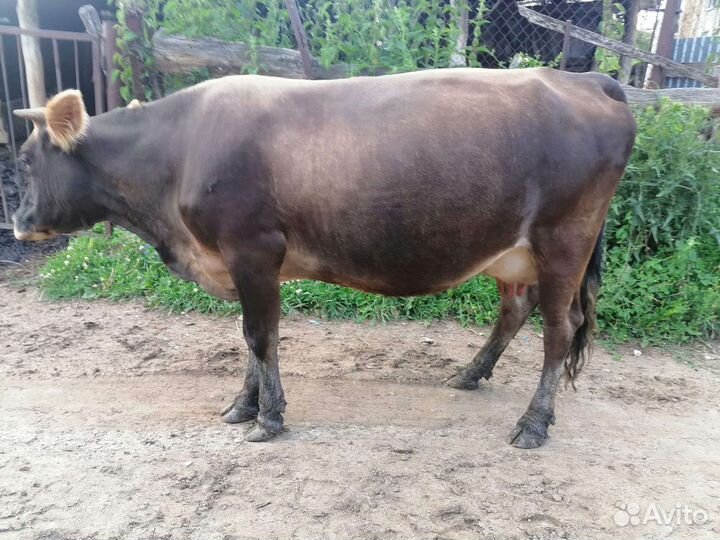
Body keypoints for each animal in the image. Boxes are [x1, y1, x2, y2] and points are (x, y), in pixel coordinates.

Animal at [12, 68, 635, 448]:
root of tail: (586, 78)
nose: (17, 223)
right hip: (514, 252)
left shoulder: (252, 247)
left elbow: (260, 335)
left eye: (25, 159)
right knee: (517, 310)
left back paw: (533, 423)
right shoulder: (242, 261)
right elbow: (251, 338)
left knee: (560, 331)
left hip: (564, 239)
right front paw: (244, 405)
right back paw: (469, 374)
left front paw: (268, 418)